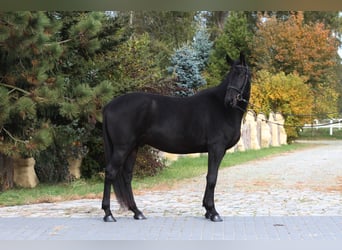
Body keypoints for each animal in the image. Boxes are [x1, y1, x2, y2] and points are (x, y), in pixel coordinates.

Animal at [101, 52, 251, 223]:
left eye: (241, 74)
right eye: (230, 75)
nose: (229, 100)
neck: (222, 109)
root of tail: (109, 106)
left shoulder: (215, 150)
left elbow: (210, 177)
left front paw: (207, 211)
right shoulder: (216, 148)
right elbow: (212, 178)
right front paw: (213, 212)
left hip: (133, 147)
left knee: (127, 176)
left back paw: (137, 212)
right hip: (122, 148)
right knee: (110, 172)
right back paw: (108, 214)